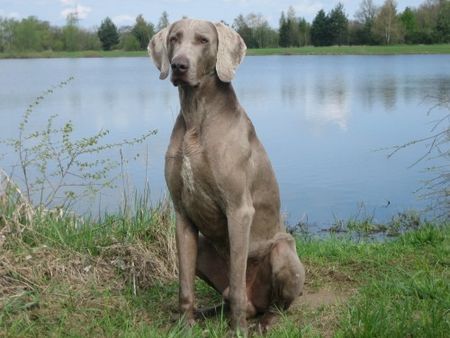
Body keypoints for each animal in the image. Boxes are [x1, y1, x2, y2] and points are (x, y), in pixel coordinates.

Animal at [148, 19, 306, 332]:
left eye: (203, 40)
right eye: (174, 39)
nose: (178, 65)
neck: (196, 116)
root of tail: (257, 304)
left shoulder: (239, 210)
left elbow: (236, 274)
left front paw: (238, 331)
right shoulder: (182, 213)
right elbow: (184, 284)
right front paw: (185, 326)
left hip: (284, 252)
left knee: (269, 303)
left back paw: (262, 323)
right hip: (204, 247)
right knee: (228, 294)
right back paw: (207, 313)